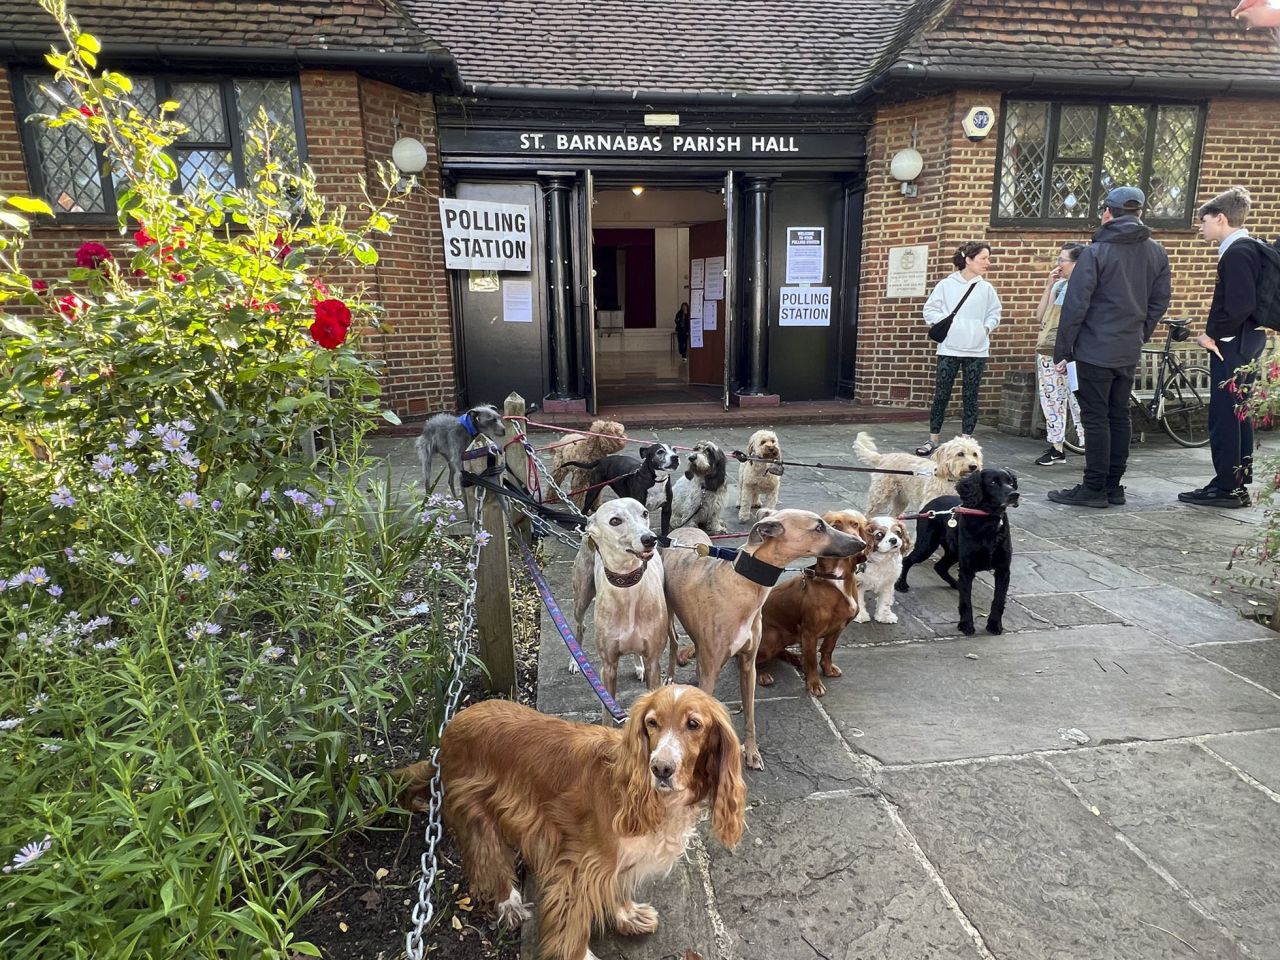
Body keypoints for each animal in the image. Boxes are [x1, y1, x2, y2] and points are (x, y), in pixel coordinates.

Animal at [660, 512, 870, 773]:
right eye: (819, 527)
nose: (861, 544)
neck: (743, 584)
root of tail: (680, 529)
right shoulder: (712, 671)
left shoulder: (748, 664)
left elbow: (750, 714)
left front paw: (752, 753)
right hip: (668, 616)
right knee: (674, 642)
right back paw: (670, 677)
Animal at [855, 432, 983, 519]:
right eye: (960, 454)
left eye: (975, 454)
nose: (974, 466)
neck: (951, 481)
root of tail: (884, 457)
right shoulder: (929, 510)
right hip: (879, 497)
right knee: (868, 515)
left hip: (901, 500)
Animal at [890, 468, 1018, 634]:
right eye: (993, 482)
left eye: (1011, 482)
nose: (1015, 494)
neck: (988, 521)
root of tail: (930, 505)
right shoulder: (967, 568)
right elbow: (966, 602)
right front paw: (965, 625)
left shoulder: (1003, 570)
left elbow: (999, 600)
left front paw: (994, 625)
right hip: (926, 545)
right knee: (908, 560)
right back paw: (902, 584)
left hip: (953, 552)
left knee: (940, 566)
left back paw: (955, 583)